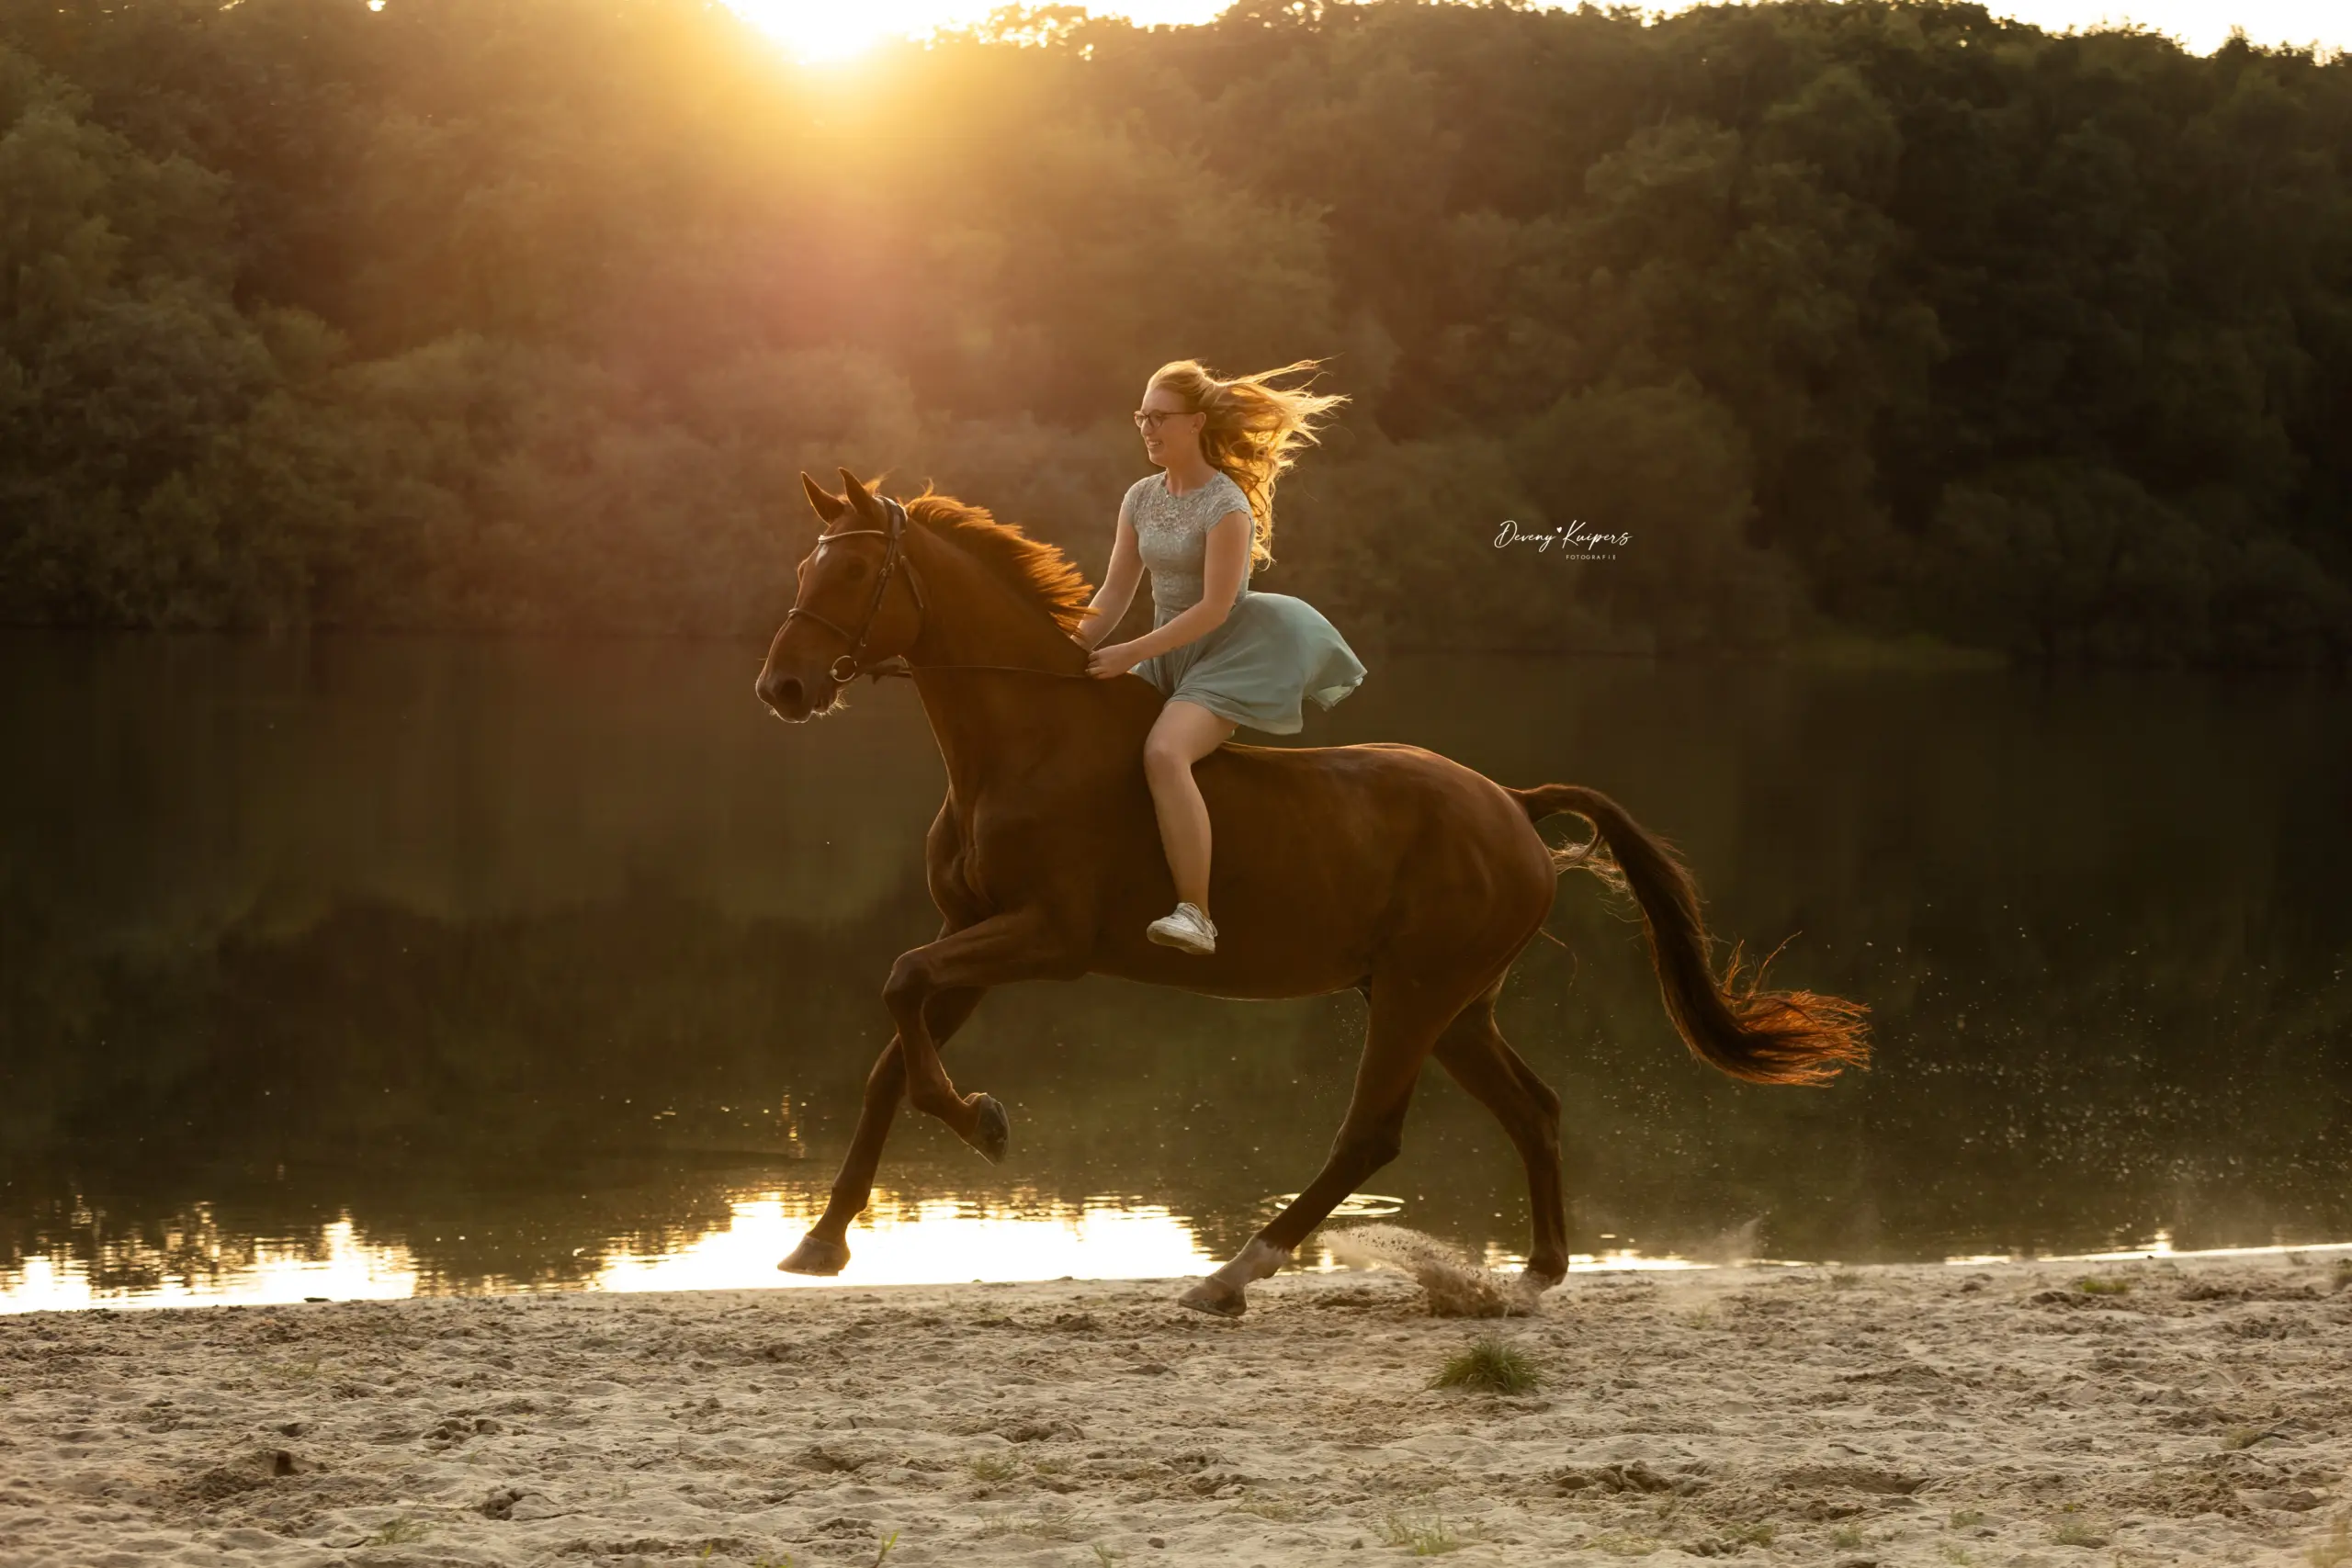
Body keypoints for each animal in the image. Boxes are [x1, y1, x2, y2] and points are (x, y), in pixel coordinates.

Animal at [757, 469, 1871, 1325]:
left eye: (851, 571)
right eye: (803, 569)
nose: (782, 690)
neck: (1022, 742)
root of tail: (1511, 804)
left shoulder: (1044, 937)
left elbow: (901, 993)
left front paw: (981, 1121)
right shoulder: (974, 933)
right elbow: (891, 1050)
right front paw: (822, 1240)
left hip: (1419, 997)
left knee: (1371, 1134)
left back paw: (1233, 1274)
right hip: (1452, 1006)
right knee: (1535, 1110)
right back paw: (1533, 1276)